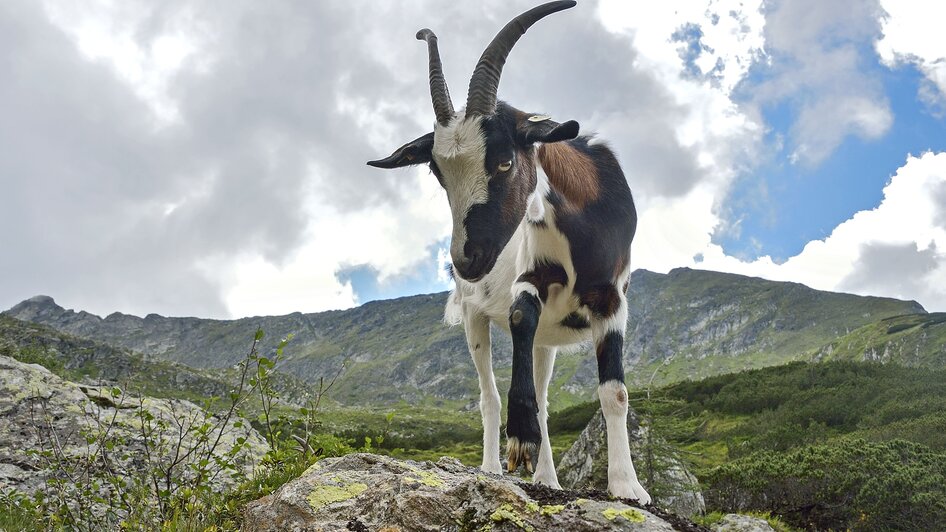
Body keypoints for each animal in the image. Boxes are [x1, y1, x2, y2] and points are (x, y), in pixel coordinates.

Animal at [368, 1, 648, 502]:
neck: (584, 221)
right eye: (438, 173)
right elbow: (519, 316)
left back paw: (547, 478)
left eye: (504, 161)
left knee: (544, 394)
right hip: (474, 316)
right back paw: (495, 467)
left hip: (548, 340)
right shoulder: (530, 275)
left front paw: (628, 487)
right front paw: (521, 438)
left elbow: (614, 392)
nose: (465, 259)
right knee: (488, 396)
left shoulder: (612, 298)